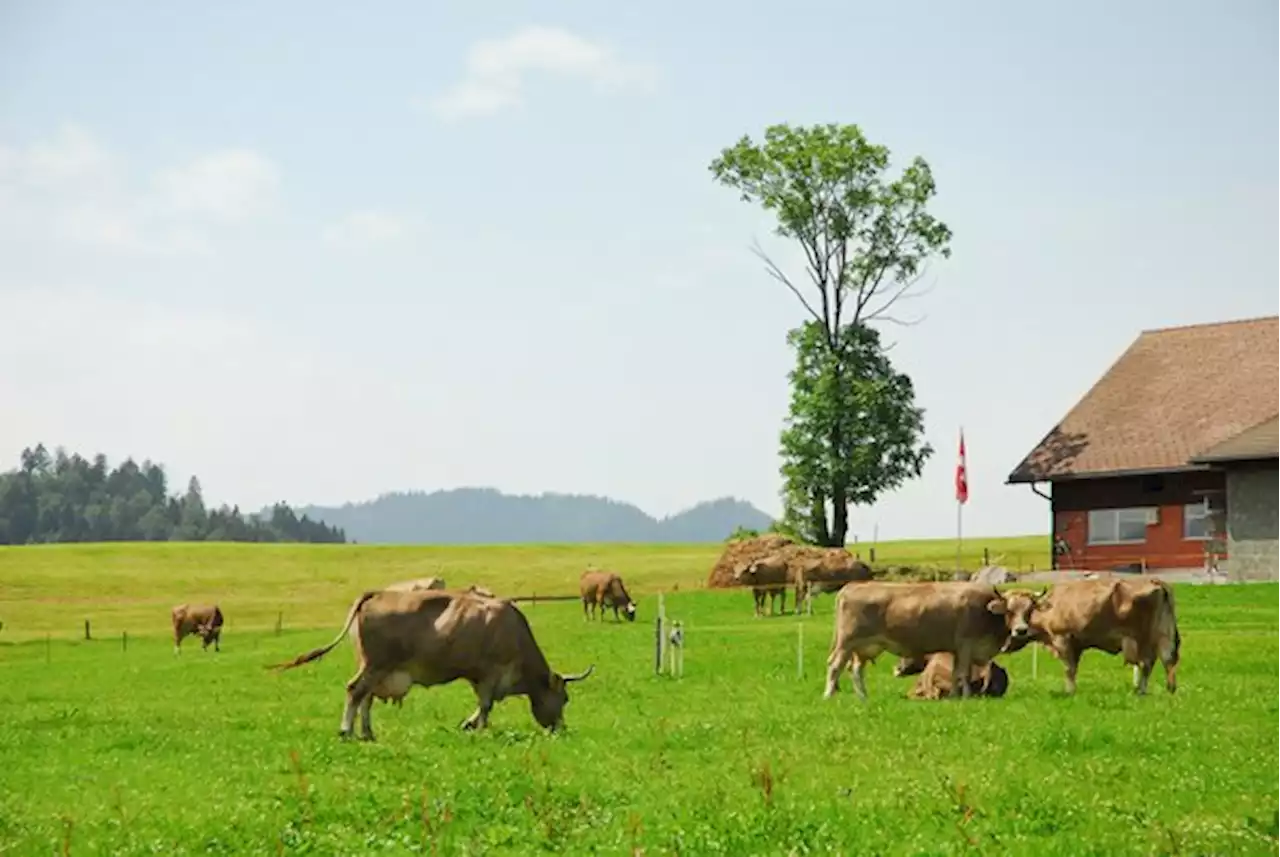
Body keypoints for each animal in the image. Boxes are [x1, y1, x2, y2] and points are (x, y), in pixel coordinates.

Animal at [268, 588, 593, 741]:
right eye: (564, 698)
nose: (560, 728)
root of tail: (377, 592)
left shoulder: (479, 677)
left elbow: (482, 705)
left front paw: (472, 724)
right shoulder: (490, 673)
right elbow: (486, 705)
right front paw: (476, 728)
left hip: (374, 668)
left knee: (365, 698)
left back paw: (367, 733)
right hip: (376, 665)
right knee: (354, 691)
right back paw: (347, 731)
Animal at [824, 580, 1044, 700]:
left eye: (1029, 609)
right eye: (1010, 609)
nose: (1021, 630)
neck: (986, 611)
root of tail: (851, 587)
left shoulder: (957, 649)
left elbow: (956, 674)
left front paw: (955, 696)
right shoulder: (965, 644)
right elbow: (963, 674)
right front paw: (966, 697)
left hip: (864, 647)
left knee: (855, 670)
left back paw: (863, 697)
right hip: (846, 643)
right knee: (835, 666)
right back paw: (829, 695)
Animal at [1008, 578, 1177, 695]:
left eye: (1027, 609)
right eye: (1008, 611)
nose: (1019, 630)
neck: (1049, 607)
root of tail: (1154, 581)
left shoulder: (1062, 639)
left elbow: (1068, 669)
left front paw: (1069, 692)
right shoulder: (1076, 645)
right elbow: (1073, 668)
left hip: (1143, 639)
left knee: (1147, 663)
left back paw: (1141, 691)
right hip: (1162, 633)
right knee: (1167, 660)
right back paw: (1170, 689)